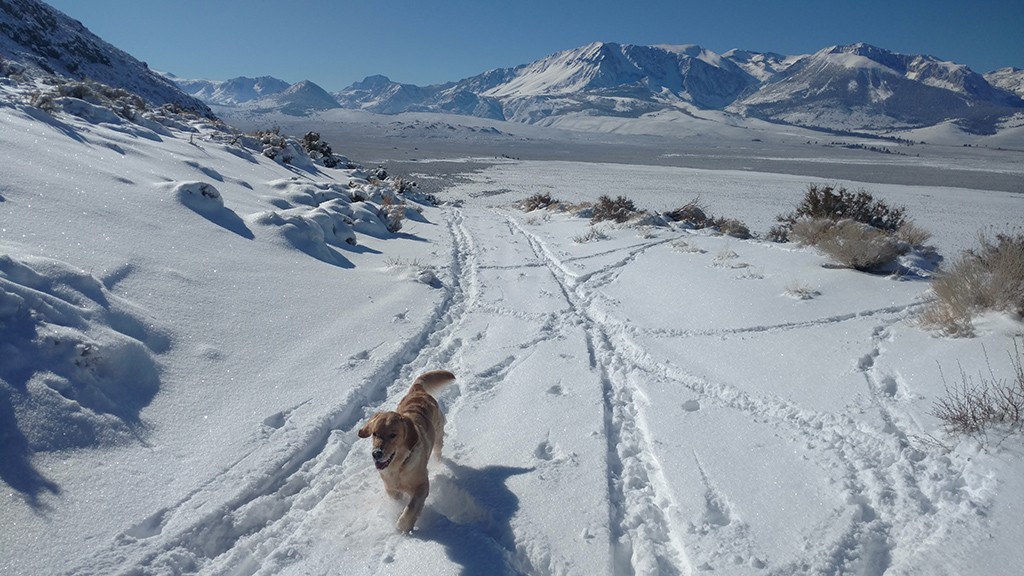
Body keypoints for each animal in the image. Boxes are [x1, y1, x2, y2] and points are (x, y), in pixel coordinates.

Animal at [360, 368, 456, 532]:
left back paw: (439, 463)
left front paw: (403, 525)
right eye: (375, 433)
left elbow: (411, 507)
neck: (398, 467)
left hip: (438, 435)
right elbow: (399, 501)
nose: (376, 453)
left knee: (438, 451)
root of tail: (418, 390)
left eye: (393, 435)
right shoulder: (391, 488)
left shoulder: (422, 486)